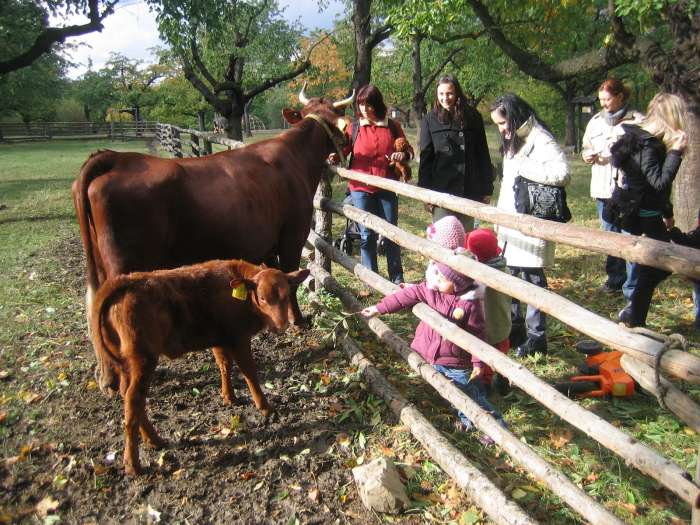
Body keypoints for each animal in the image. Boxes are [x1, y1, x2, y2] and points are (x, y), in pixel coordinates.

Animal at [74, 86, 352, 390]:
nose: (348, 147)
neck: (295, 158)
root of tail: (117, 158)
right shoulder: (292, 234)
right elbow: (291, 276)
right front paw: (298, 321)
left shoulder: (268, 245)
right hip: (123, 263)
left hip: (100, 262)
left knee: (95, 305)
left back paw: (107, 374)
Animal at [91, 258, 308, 474]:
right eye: (262, 298)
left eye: (286, 295)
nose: (281, 325)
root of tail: (125, 281)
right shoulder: (238, 338)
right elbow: (249, 373)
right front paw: (265, 407)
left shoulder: (220, 339)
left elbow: (224, 364)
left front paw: (229, 397)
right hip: (143, 360)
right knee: (133, 399)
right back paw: (133, 464)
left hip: (128, 364)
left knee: (129, 396)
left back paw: (154, 440)